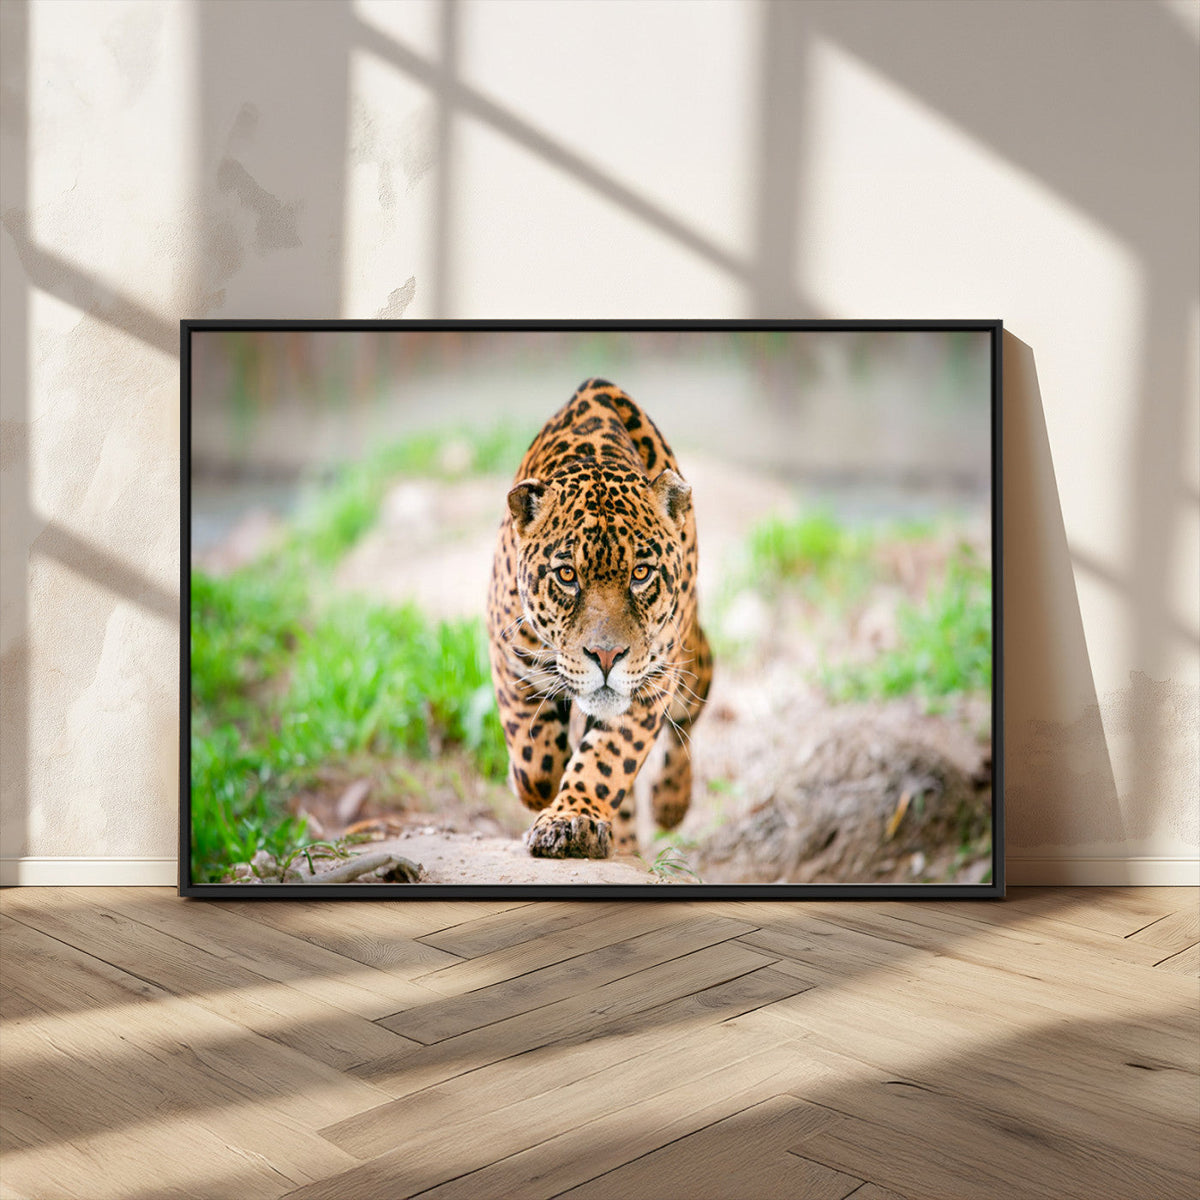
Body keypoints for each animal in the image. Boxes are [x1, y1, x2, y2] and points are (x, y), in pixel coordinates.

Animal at [487, 378, 712, 860]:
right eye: (567, 575)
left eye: (641, 574)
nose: (606, 656)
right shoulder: (509, 653)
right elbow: (534, 757)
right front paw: (537, 789)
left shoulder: (651, 682)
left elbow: (607, 760)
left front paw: (572, 819)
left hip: (692, 661)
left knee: (686, 720)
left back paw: (670, 802)